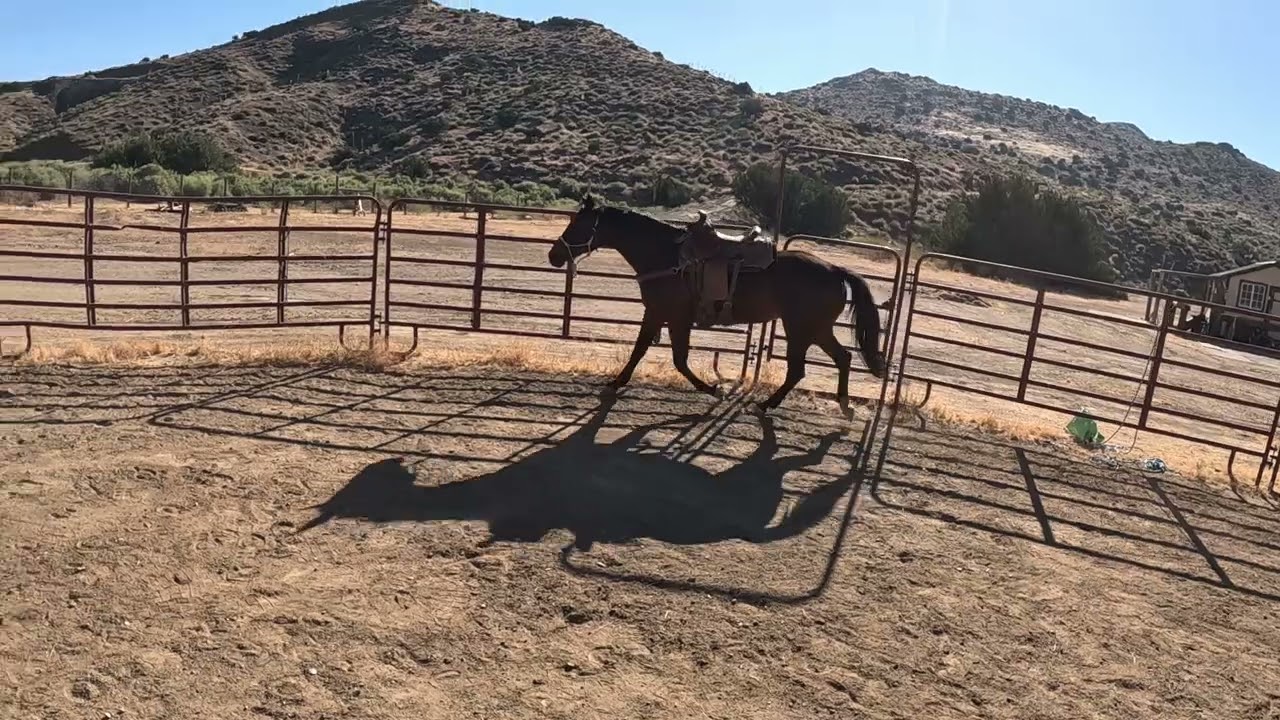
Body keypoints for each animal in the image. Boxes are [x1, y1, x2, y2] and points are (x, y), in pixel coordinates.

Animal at [547, 194, 886, 414]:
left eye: (579, 226)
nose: (554, 256)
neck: (666, 257)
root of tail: (836, 270)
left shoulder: (674, 317)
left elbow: (677, 360)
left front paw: (713, 389)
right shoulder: (656, 313)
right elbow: (641, 349)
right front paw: (617, 381)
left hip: (801, 330)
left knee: (798, 371)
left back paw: (766, 405)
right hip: (817, 329)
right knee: (843, 358)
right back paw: (843, 405)